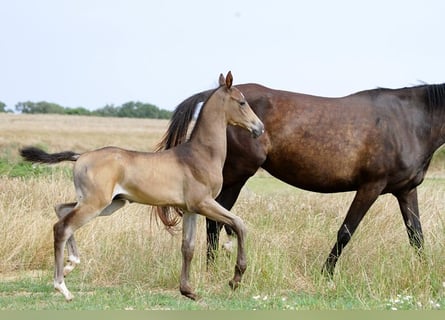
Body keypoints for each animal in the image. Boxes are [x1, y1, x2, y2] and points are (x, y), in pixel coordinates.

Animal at [20, 71, 264, 302]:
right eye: (242, 102)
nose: (259, 128)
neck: (199, 155)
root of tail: (80, 156)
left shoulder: (189, 210)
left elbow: (188, 248)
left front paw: (188, 291)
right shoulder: (203, 203)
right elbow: (239, 224)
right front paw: (235, 278)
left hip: (107, 204)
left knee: (61, 209)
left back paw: (71, 263)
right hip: (95, 204)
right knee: (62, 227)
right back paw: (63, 287)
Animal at [156, 82, 444, 278]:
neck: (409, 121)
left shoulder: (406, 191)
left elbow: (416, 235)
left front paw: (425, 272)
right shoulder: (370, 187)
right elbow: (345, 232)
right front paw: (326, 274)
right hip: (236, 176)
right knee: (216, 221)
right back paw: (212, 269)